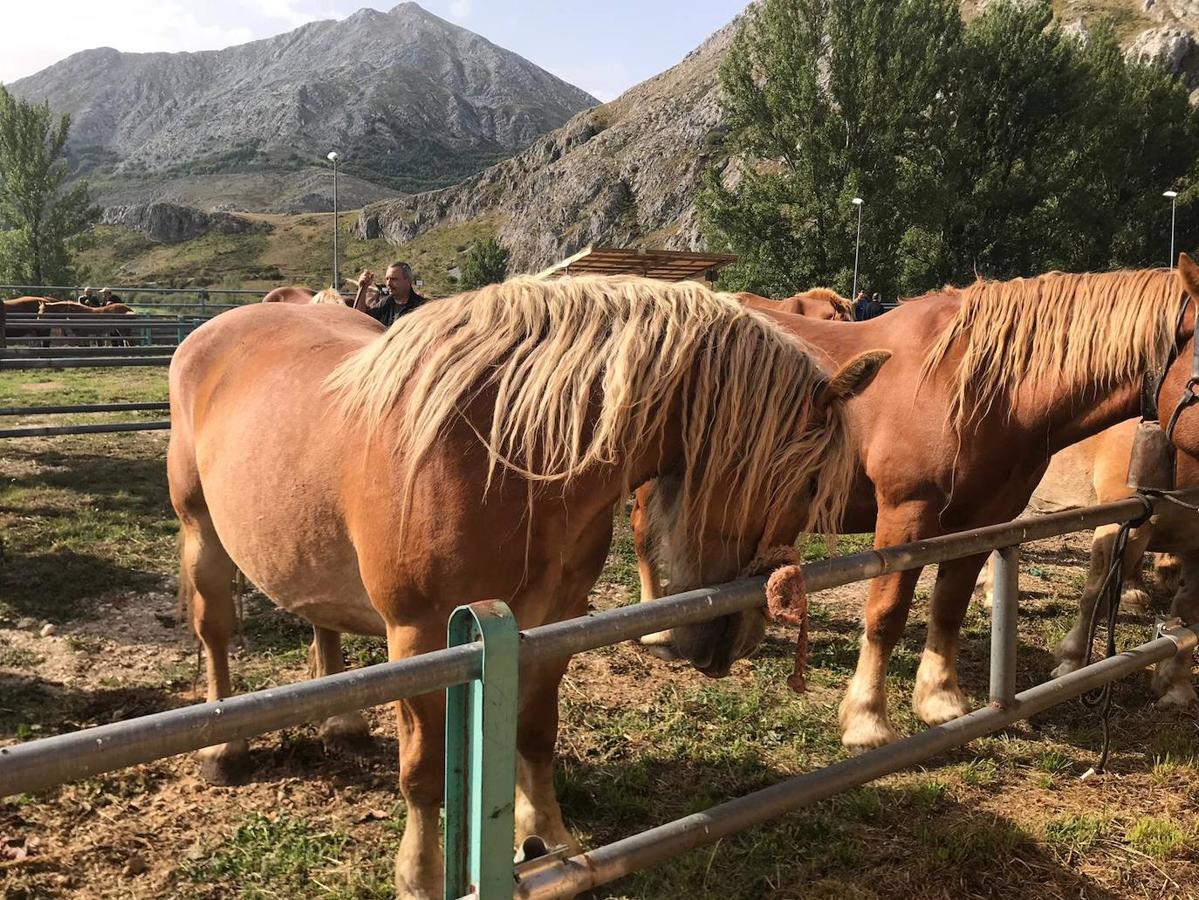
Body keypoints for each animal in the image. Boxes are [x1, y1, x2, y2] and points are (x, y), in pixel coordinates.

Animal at [166, 276, 882, 900]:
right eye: (807, 487)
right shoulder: (420, 638)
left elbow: (536, 733)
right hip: (200, 533)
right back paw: (224, 748)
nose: (732, 640)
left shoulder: (553, 622)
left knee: (321, 617)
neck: (503, 455)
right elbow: (423, 773)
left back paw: (341, 722)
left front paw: (551, 841)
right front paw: (422, 877)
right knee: (216, 631)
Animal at [637, 262, 1199, 752]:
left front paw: (939, 699)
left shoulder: (986, 521)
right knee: (646, 541)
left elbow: (949, 605)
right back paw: (659, 629)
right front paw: (866, 719)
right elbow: (886, 613)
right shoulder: (905, 516)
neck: (975, 388)